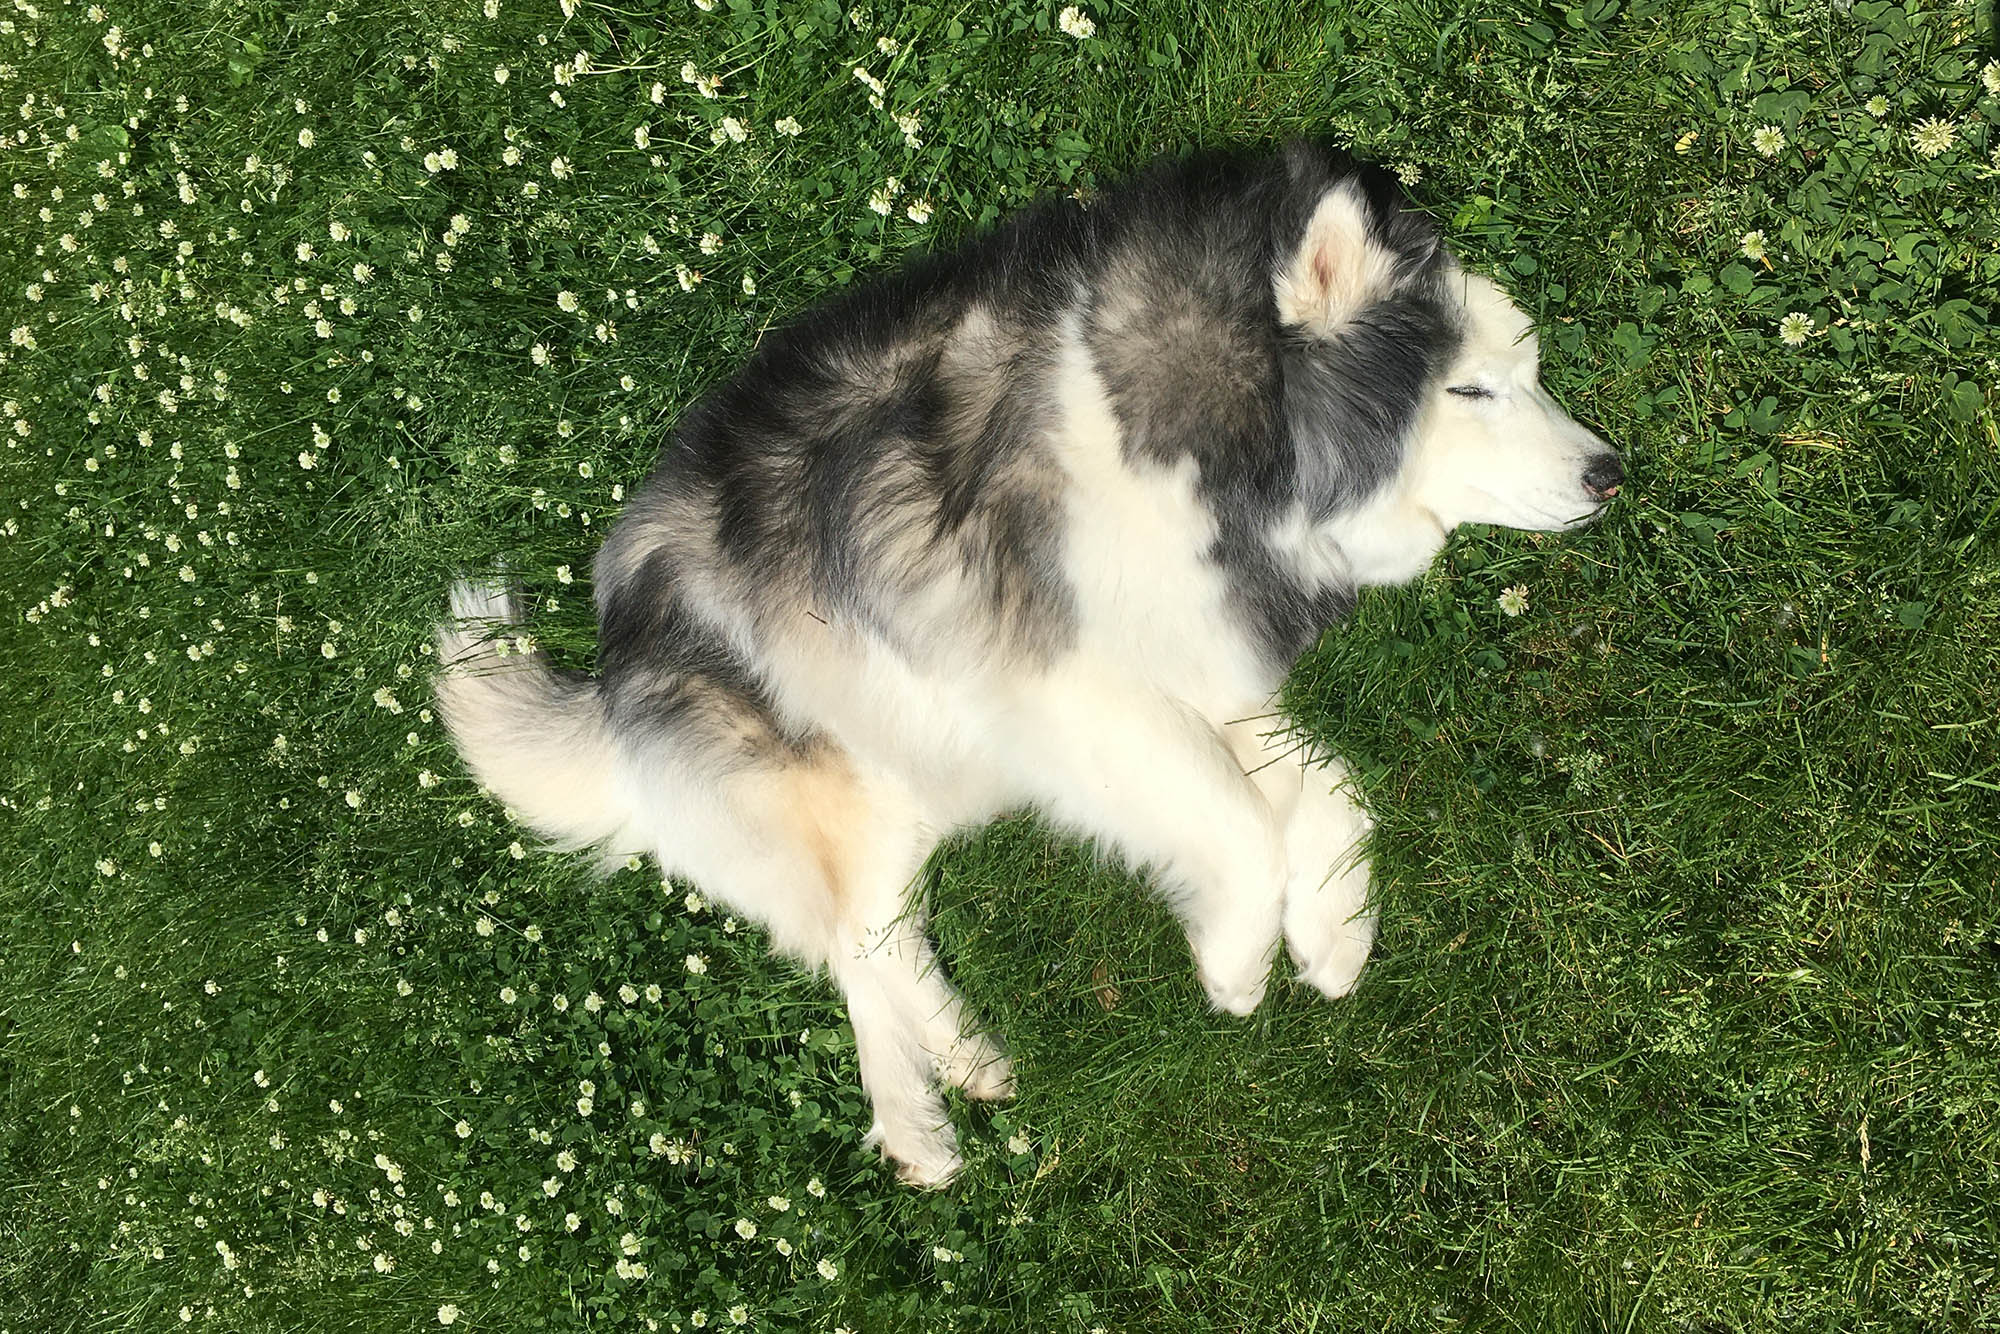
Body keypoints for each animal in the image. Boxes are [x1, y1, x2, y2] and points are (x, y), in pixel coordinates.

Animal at [430, 141, 1616, 1192]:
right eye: (1470, 391)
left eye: (1531, 374)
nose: (1610, 472)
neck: (1192, 433)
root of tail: (610, 669)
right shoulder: (1060, 688)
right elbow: (1237, 822)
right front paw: (1238, 960)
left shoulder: (1200, 668)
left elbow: (1325, 788)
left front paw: (1330, 929)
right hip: (824, 778)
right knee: (850, 944)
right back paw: (920, 1114)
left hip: (913, 781)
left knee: (871, 938)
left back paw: (952, 1072)